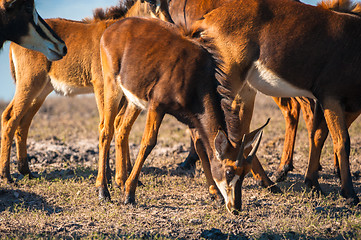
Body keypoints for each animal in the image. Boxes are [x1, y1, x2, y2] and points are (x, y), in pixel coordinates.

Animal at [0, 0, 173, 199]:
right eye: (150, 2)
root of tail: (13, 44)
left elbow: (120, 125)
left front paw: (121, 179)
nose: (170, 25)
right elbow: (107, 126)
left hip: (43, 90)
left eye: (167, 3)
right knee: (10, 117)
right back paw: (6, 175)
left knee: (24, 121)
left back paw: (26, 171)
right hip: (29, 83)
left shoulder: (123, 94)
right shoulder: (101, 86)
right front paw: (108, 181)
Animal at [100, 17, 268, 214]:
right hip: (112, 85)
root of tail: (112, 28)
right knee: (106, 131)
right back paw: (103, 191)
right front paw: (129, 194)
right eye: (229, 171)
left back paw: (120, 181)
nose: (236, 207)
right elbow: (148, 143)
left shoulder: (192, 118)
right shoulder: (157, 105)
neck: (198, 75)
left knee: (121, 130)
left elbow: (201, 148)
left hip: (134, 101)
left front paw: (215, 194)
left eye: (246, 172)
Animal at [197, 0, 361, 204]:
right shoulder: (331, 97)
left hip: (244, 90)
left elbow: (318, 135)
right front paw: (349, 194)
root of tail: (207, 19)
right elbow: (341, 141)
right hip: (229, 83)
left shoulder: (329, 102)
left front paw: (313, 183)